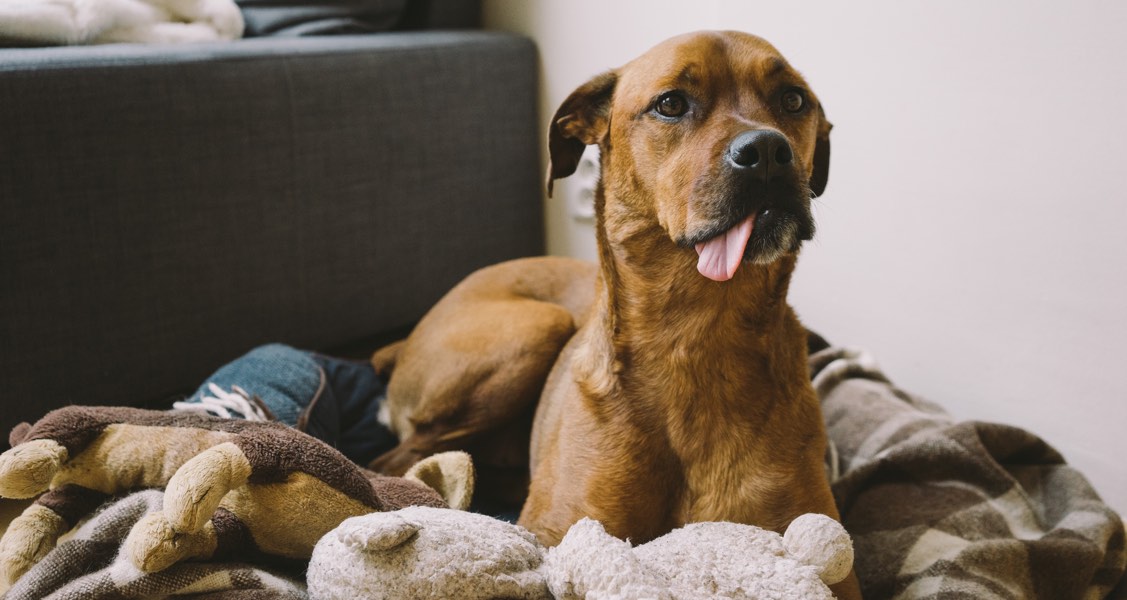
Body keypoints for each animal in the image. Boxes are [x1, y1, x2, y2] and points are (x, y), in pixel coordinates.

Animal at [369, 31, 861, 600]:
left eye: (793, 100)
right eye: (671, 104)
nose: (767, 152)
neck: (696, 337)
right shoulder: (562, 535)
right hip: (533, 331)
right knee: (394, 463)